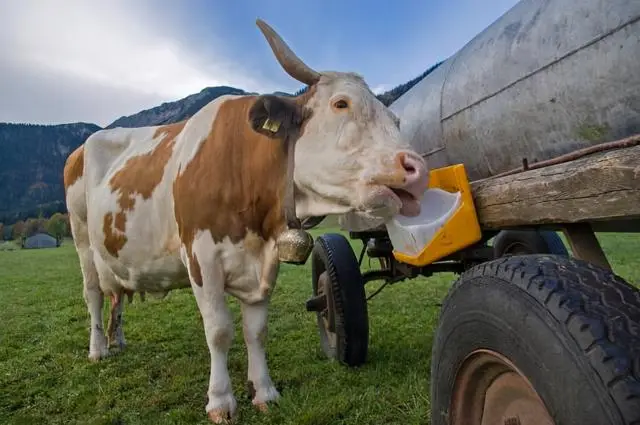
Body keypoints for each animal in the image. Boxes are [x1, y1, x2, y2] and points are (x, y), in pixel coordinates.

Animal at [63, 18, 429, 423]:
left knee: (116, 295)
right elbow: (219, 331)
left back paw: (119, 340)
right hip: (82, 240)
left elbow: (256, 331)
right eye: (341, 103)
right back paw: (98, 349)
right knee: (94, 294)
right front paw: (221, 401)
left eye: (395, 118)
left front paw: (264, 391)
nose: (417, 168)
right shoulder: (201, 257)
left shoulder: (266, 261)